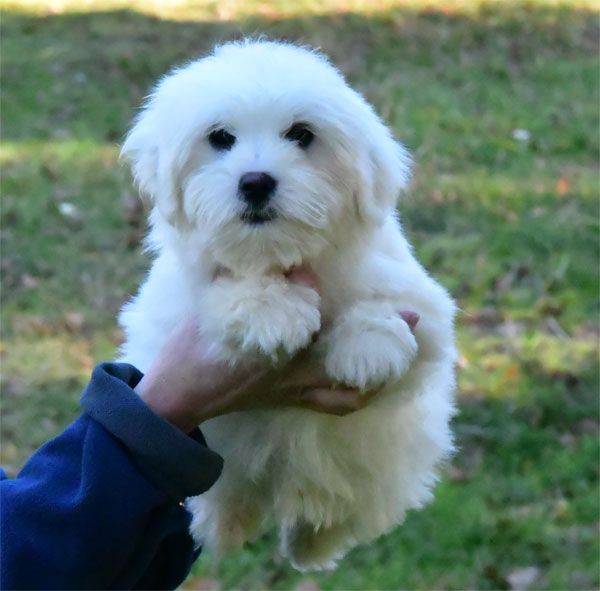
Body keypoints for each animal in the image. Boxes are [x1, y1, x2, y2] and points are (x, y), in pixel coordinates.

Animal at [119, 39, 458, 572]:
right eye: (220, 138)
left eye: (302, 135)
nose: (256, 182)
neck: (277, 255)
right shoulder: (172, 318)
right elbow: (233, 294)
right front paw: (270, 312)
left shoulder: (427, 309)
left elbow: (390, 310)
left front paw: (368, 346)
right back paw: (225, 525)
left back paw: (313, 541)